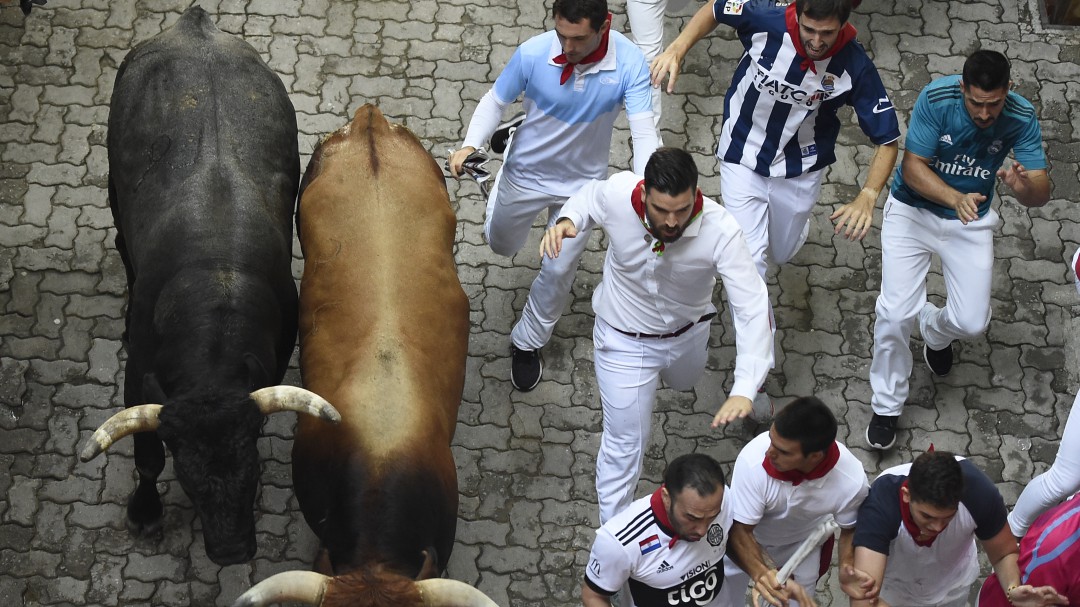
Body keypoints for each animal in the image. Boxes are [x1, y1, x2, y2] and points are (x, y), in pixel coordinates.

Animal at [83, 7, 334, 565]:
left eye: (252, 469)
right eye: (190, 477)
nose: (233, 549)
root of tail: (194, 22)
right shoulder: (140, 377)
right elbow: (147, 457)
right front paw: (145, 512)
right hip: (113, 191)